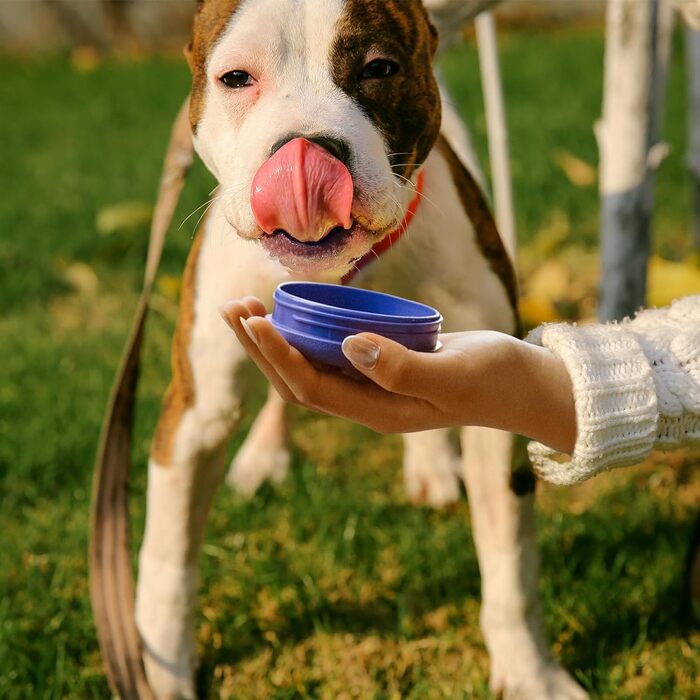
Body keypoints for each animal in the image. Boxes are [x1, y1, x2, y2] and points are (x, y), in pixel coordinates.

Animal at [134, 2, 588, 696]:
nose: (306, 153)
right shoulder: (193, 414)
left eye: (379, 68)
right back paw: (264, 453)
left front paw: (530, 671)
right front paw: (160, 666)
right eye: (236, 78)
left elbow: (510, 563)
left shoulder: (492, 411)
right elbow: (167, 558)